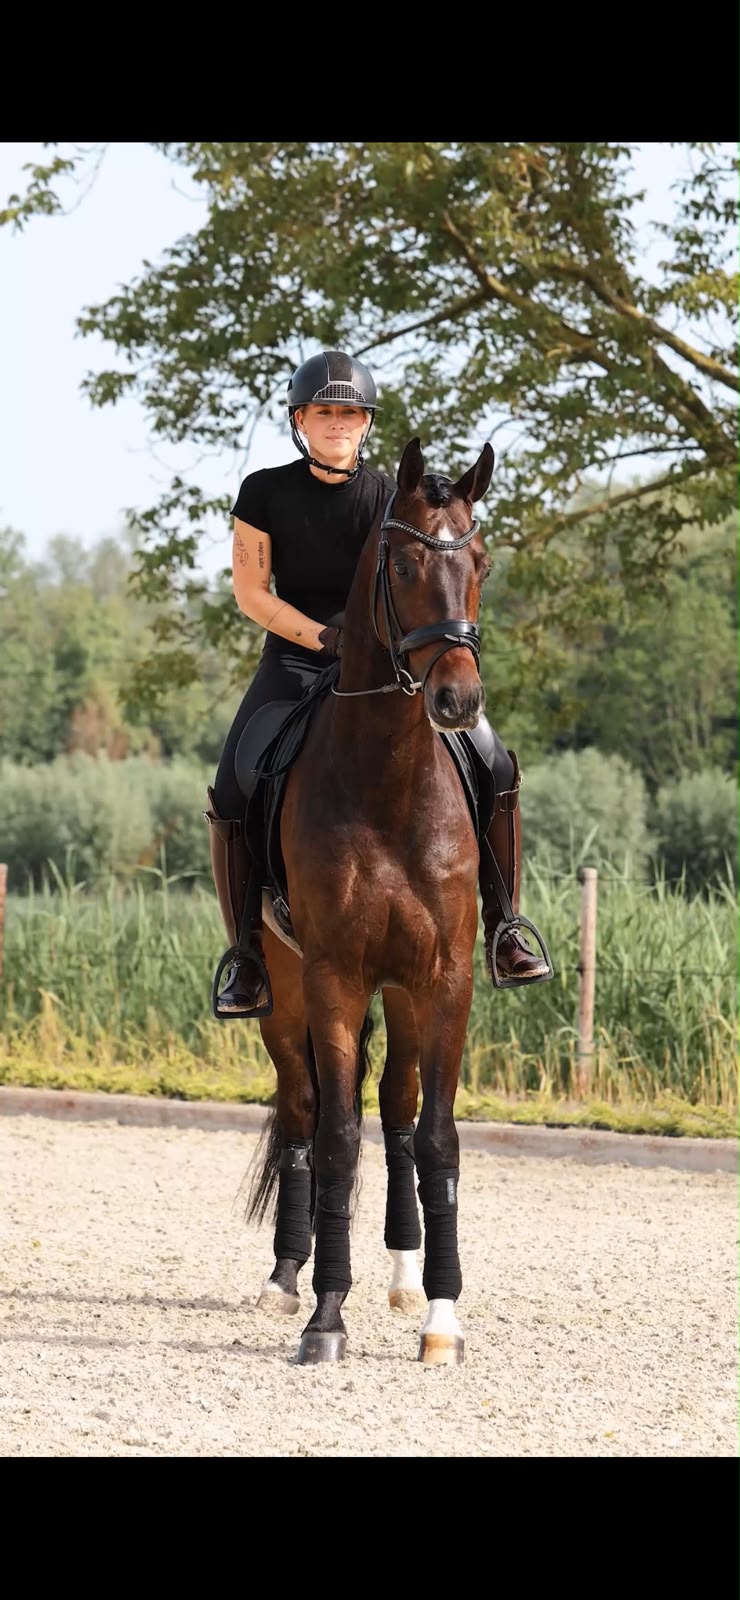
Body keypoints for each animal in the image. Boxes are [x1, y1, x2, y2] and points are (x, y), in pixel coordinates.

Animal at [241, 436, 495, 1365]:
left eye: (479, 564)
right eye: (407, 563)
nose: (457, 701)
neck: (388, 781)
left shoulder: (445, 978)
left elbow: (436, 1135)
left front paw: (442, 1315)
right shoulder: (334, 977)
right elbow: (337, 1138)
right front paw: (325, 1312)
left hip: (408, 993)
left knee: (399, 1111)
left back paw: (404, 1271)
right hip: (283, 993)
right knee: (306, 1111)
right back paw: (288, 1275)